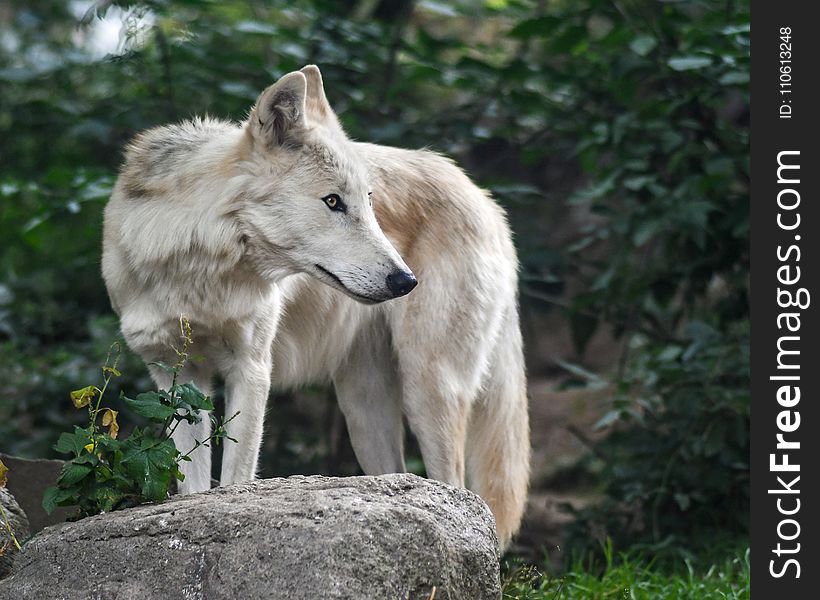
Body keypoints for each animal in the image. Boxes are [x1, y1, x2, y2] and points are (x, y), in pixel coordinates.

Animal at [102, 65, 528, 548]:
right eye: (332, 202)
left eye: (369, 202)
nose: (406, 281)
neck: (198, 267)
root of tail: (485, 199)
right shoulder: (176, 379)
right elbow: (191, 486)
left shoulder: (251, 369)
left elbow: (234, 479)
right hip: (363, 410)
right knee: (399, 478)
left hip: (429, 388)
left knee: (455, 487)